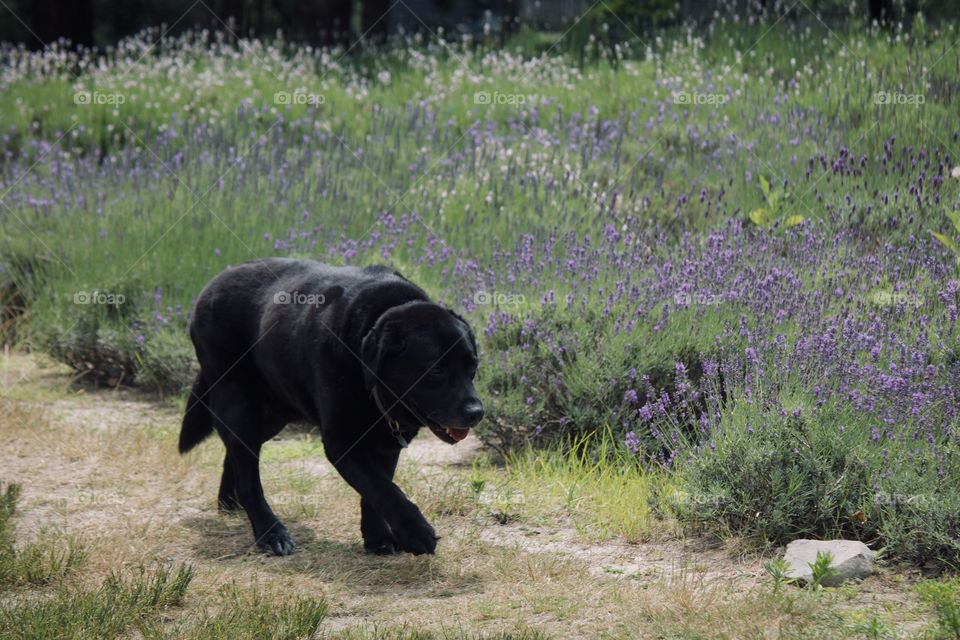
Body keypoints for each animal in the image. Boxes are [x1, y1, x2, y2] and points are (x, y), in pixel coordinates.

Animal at [177, 258, 484, 556]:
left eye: (472, 368)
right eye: (436, 371)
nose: (476, 413)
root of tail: (211, 285)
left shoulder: (387, 443)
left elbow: (376, 490)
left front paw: (378, 539)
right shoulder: (342, 442)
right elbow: (383, 489)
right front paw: (416, 531)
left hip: (273, 413)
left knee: (237, 452)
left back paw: (228, 502)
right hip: (238, 403)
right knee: (248, 475)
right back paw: (271, 533)